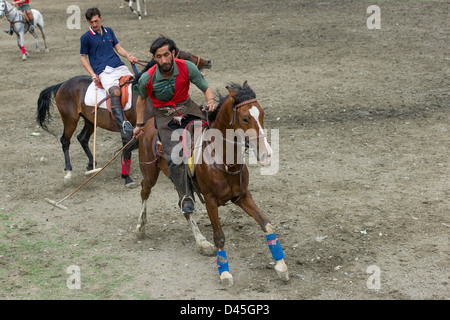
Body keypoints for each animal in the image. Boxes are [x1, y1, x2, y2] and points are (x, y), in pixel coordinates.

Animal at [37, 50, 211, 188]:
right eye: (186, 56)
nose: (208, 61)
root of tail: (62, 84)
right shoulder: (132, 129)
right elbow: (128, 147)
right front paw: (127, 177)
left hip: (89, 120)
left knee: (82, 138)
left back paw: (91, 164)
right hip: (70, 119)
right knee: (65, 140)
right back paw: (68, 172)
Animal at [135, 80, 288, 284]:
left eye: (262, 113)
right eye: (245, 118)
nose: (266, 153)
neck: (225, 160)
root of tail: (147, 125)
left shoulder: (242, 196)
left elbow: (266, 223)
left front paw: (281, 266)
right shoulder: (210, 201)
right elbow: (220, 237)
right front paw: (224, 272)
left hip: (180, 183)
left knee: (184, 205)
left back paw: (201, 242)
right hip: (150, 172)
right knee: (145, 191)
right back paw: (140, 227)